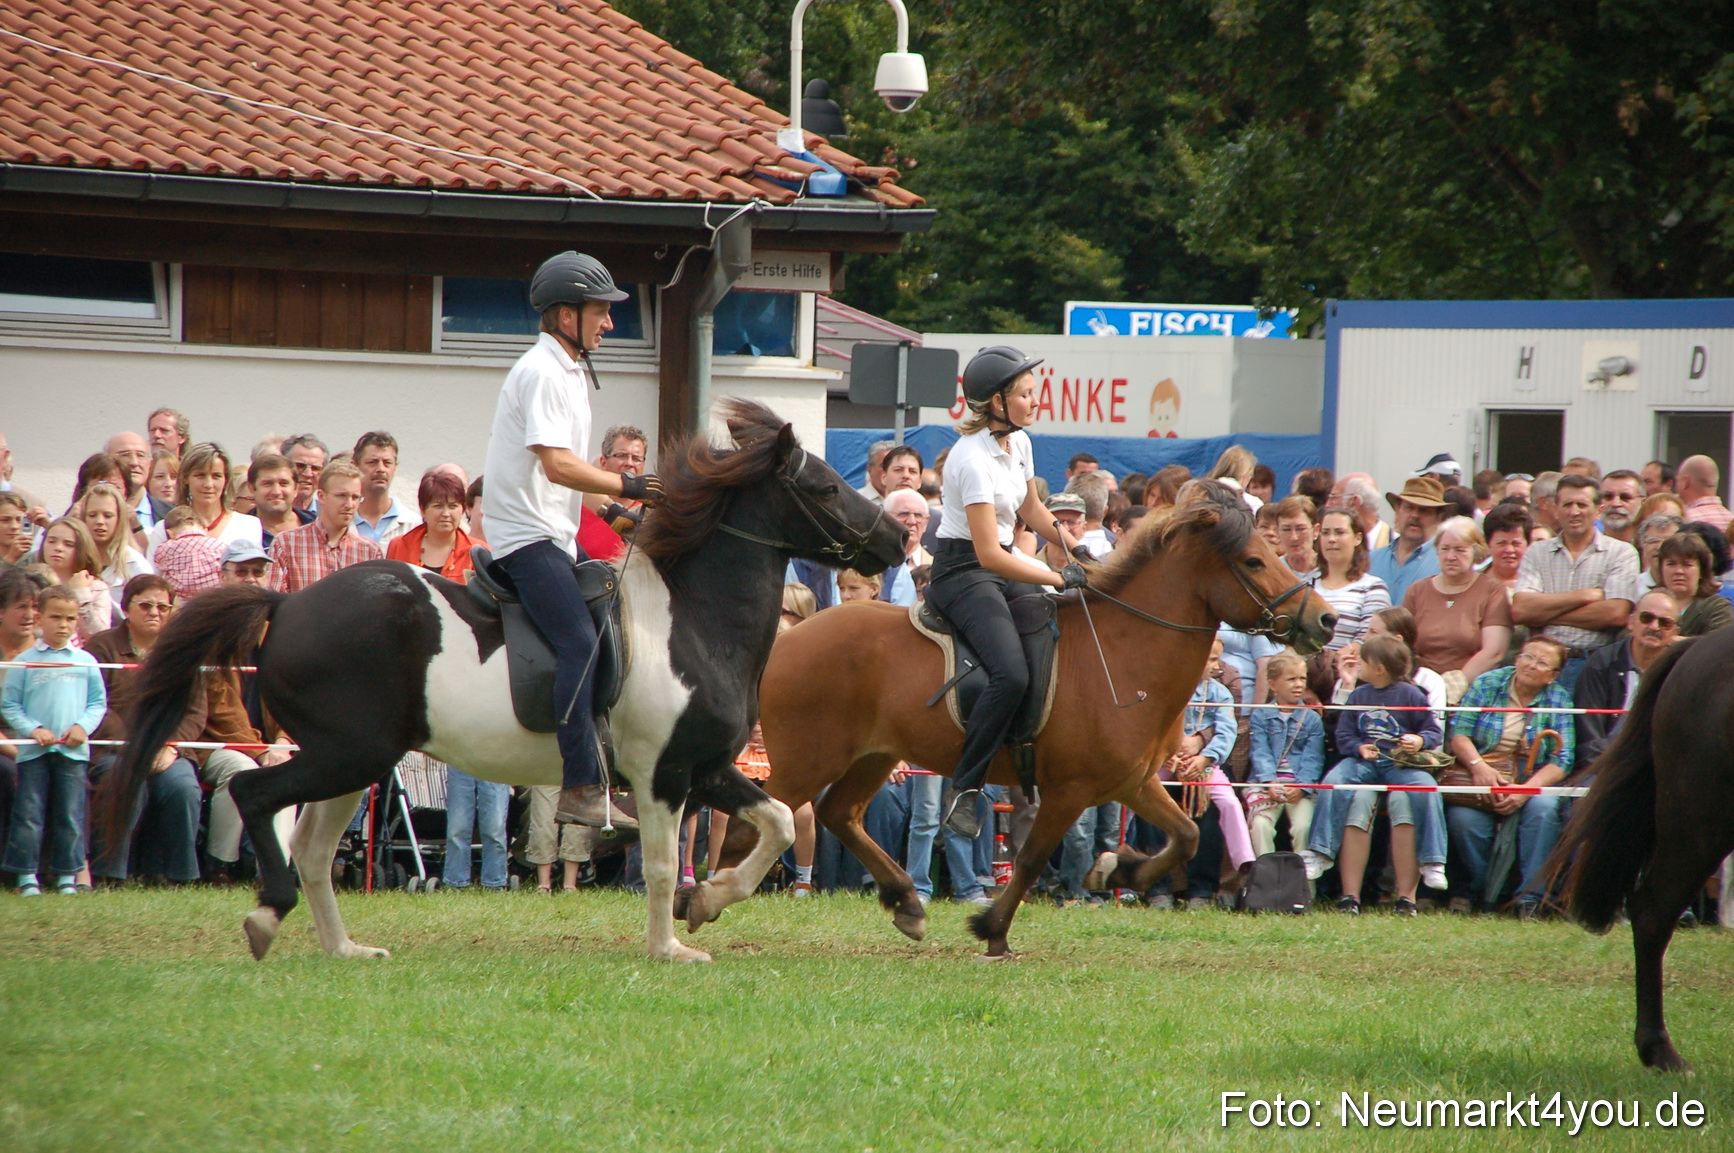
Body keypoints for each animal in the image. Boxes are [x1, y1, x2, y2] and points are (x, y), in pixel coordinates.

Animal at [94, 399, 905, 964]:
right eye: (825, 488)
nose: (899, 538)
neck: (691, 619)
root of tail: (287, 602)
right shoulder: (663, 775)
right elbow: (662, 864)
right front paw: (671, 945)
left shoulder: (702, 766)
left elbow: (774, 820)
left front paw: (708, 902)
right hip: (348, 755)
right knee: (256, 797)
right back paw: (268, 914)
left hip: (352, 763)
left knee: (318, 848)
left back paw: (344, 948)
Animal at [690, 480, 1339, 957]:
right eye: (1254, 560)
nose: (1325, 621)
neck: (1123, 651)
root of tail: (786, 639)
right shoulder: (1070, 789)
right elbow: (1027, 859)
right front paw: (993, 930)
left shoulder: (1130, 781)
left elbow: (1185, 836)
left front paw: (1118, 872)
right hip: (808, 758)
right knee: (756, 824)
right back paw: (703, 899)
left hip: (872, 756)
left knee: (836, 814)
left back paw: (905, 902)